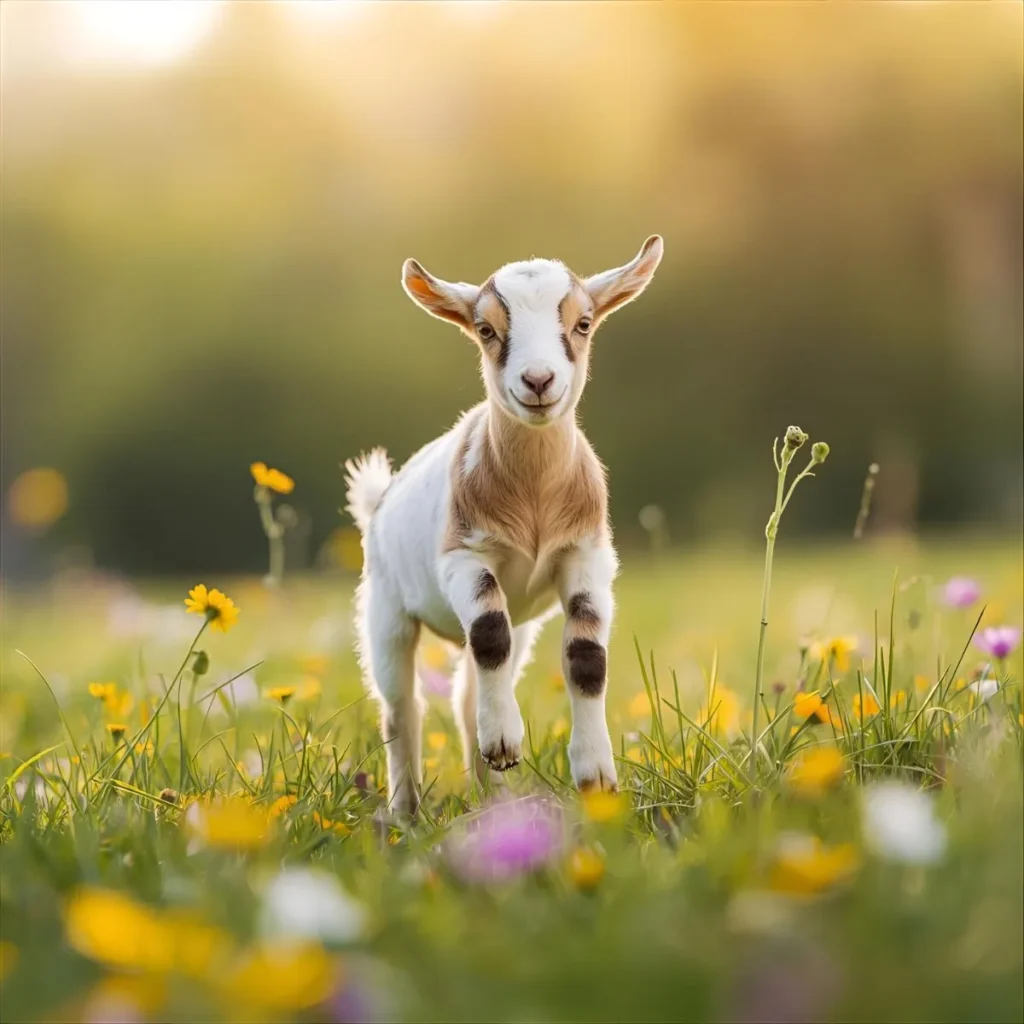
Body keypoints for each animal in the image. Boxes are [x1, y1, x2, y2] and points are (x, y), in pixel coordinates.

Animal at [344, 236, 664, 814]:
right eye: (486, 329)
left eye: (584, 323)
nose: (538, 381)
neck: (534, 500)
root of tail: (379, 501)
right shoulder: (464, 555)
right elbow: (490, 634)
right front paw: (505, 741)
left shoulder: (587, 557)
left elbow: (587, 657)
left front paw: (594, 773)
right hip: (384, 610)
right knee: (403, 708)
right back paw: (406, 812)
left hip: (522, 624)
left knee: (467, 694)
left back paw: (494, 797)